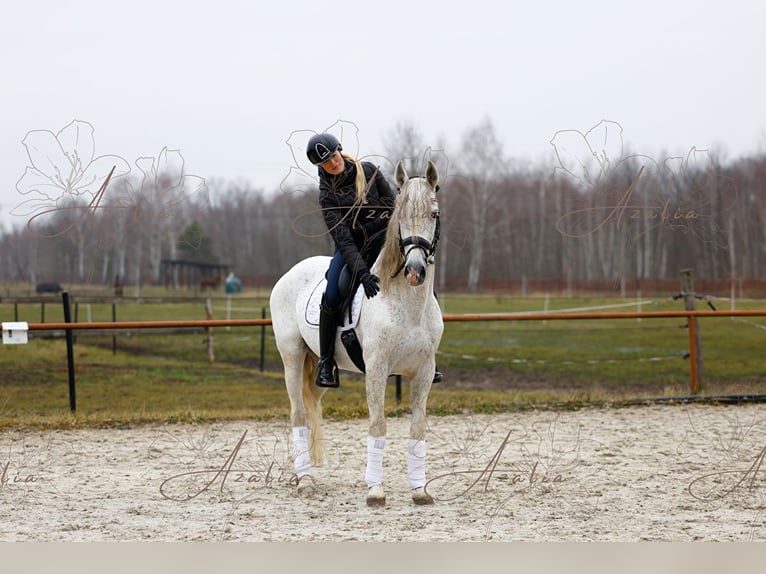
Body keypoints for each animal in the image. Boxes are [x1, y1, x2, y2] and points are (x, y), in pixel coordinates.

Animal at [270, 160, 444, 506]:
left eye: (433, 214)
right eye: (400, 216)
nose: (414, 271)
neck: (406, 304)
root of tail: (291, 272)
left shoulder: (423, 371)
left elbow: (418, 429)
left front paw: (419, 490)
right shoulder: (376, 369)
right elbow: (378, 425)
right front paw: (375, 491)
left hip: (318, 368)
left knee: (312, 407)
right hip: (292, 357)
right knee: (298, 415)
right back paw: (305, 481)